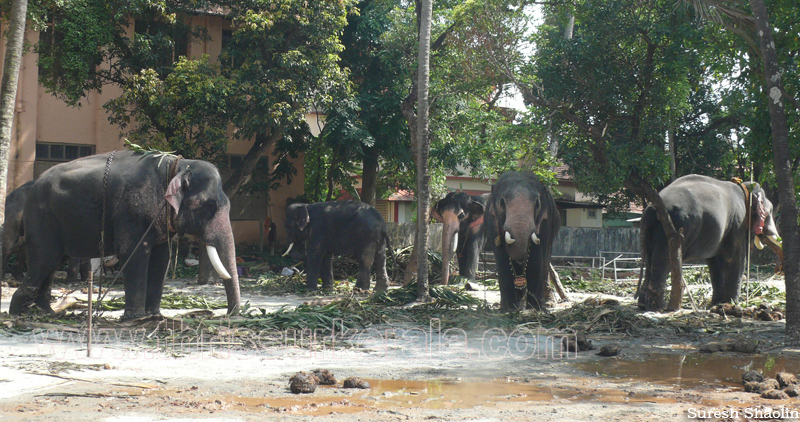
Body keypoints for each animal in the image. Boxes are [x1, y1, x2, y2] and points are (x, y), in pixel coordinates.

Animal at [8, 150, 241, 318]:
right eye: (209, 207)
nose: (228, 314)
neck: (177, 166)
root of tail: (35, 183)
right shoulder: (131, 212)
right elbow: (134, 253)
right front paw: (135, 318)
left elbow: (161, 258)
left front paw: (154, 316)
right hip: (42, 218)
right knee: (43, 261)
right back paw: (16, 314)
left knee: (52, 263)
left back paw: (47, 313)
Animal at [484, 171, 560, 310]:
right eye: (502, 203)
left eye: (537, 204)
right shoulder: (492, 221)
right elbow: (502, 256)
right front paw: (508, 308)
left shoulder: (544, 222)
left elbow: (535, 256)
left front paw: (534, 308)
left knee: (545, 262)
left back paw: (546, 303)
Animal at [636, 174, 780, 310]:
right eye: (770, 211)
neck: (744, 190)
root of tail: (650, 209)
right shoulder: (738, 223)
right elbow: (734, 257)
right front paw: (731, 303)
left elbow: (715, 261)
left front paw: (717, 302)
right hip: (670, 228)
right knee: (662, 260)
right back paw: (660, 306)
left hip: (653, 232)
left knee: (650, 261)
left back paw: (643, 304)